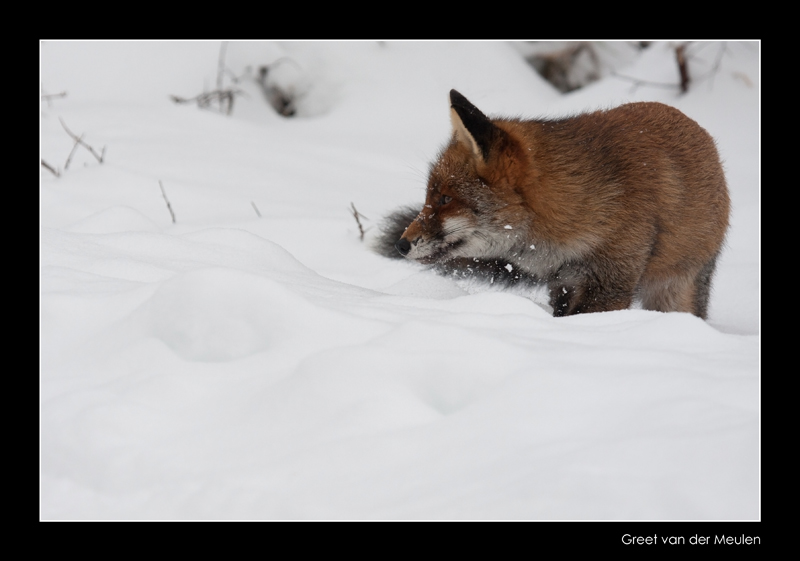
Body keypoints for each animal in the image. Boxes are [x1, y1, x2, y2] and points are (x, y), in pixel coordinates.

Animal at [376, 91, 732, 320]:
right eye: (430, 197)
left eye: (445, 199)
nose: (401, 245)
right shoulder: (562, 285)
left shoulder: (610, 284)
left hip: (674, 288)